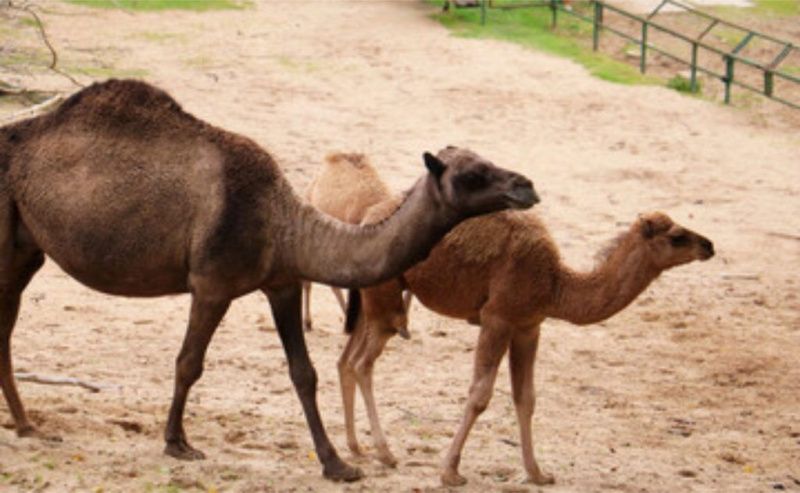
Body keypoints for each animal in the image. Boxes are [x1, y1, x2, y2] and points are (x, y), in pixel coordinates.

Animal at [0, 79, 539, 481]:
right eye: (472, 174)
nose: (526, 185)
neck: (283, 222)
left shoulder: (281, 281)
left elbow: (304, 373)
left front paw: (338, 465)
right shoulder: (212, 283)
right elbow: (188, 363)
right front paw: (177, 443)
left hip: (28, 248)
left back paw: (27, 425)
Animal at [305, 157, 714, 484]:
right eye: (677, 236)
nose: (709, 245)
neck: (556, 283)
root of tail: (366, 219)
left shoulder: (529, 326)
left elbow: (526, 397)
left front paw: (538, 473)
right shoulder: (498, 318)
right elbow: (480, 395)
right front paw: (451, 471)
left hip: (374, 299)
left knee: (345, 360)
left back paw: (357, 448)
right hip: (387, 303)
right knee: (362, 362)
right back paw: (385, 452)